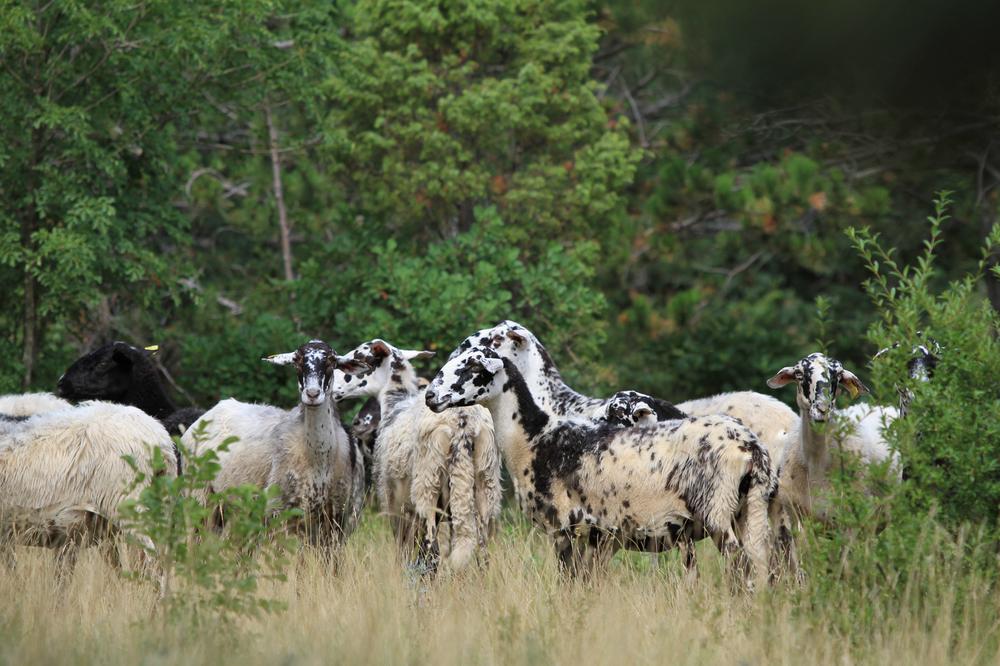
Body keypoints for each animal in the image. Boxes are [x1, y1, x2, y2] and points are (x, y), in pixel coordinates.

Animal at [182, 340, 368, 550]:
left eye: (331, 361)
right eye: (297, 361)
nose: (312, 394)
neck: (318, 460)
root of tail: (212, 411)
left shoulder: (335, 518)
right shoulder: (279, 513)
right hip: (198, 495)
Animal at [333, 340, 501, 573]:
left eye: (361, 358)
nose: (332, 387)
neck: (394, 402)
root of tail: (462, 421)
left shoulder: (395, 505)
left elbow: (403, 551)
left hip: (426, 487)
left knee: (432, 552)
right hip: (484, 486)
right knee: (482, 555)